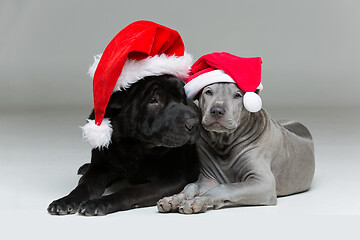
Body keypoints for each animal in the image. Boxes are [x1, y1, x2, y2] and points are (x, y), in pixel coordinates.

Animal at [47, 75, 200, 216]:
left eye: (182, 99)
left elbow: (130, 191)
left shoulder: (172, 179)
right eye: (153, 100)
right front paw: (66, 200)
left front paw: (99, 203)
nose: (194, 123)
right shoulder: (99, 168)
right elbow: (84, 184)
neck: (134, 147)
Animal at [158, 83, 316, 214]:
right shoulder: (208, 179)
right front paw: (174, 199)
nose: (217, 110)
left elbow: (225, 187)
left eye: (238, 95)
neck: (224, 142)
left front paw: (199, 201)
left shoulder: (263, 183)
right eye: (208, 92)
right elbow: (191, 186)